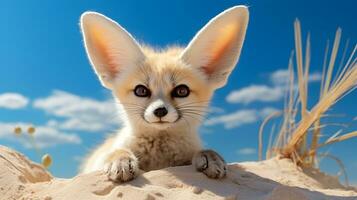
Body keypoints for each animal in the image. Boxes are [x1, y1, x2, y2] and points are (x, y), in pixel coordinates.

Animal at [80, 6, 248, 182]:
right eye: (141, 91)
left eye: (182, 91)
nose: (160, 111)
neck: (160, 157)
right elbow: (116, 151)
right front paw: (120, 159)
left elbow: (202, 151)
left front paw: (210, 156)